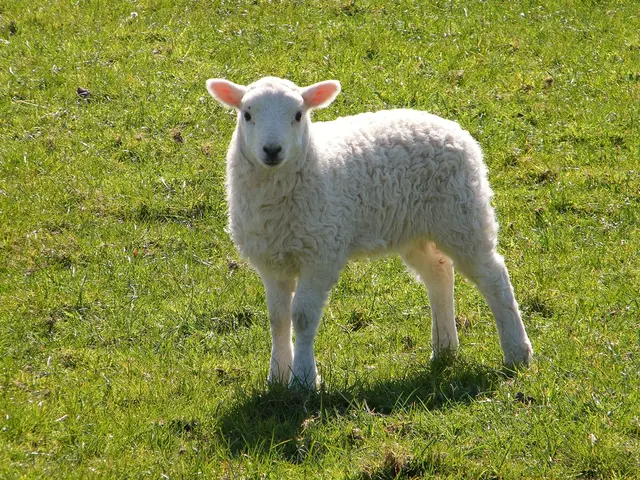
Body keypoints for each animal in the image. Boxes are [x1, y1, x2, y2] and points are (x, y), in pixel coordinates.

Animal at [205, 76, 533, 389]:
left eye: (298, 115)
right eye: (247, 114)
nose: (272, 150)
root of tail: (450, 127)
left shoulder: (321, 253)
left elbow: (302, 316)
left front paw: (303, 380)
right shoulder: (271, 261)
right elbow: (278, 318)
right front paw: (276, 377)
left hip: (462, 214)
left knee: (493, 276)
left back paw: (517, 352)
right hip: (415, 228)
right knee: (439, 272)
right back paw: (444, 349)